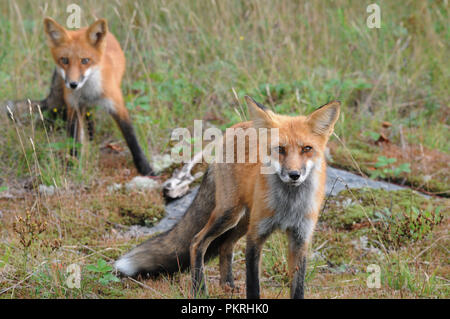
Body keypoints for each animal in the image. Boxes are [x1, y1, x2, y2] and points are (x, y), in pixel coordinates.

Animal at [43, 17, 155, 176]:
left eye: (85, 60)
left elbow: (131, 137)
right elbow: (73, 140)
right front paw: (72, 165)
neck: (89, 92)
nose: (73, 84)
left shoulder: (117, 105)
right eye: (64, 60)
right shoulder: (74, 108)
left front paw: (145, 167)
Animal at [114, 96, 340, 298]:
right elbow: (253, 286)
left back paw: (227, 285)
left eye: (307, 149)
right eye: (280, 149)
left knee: (225, 245)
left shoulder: (300, 239)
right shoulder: (256, 236)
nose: (294, 175)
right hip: (229, 214)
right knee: (196, 242)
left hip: (242, 220)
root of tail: (233, 129)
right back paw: (200, 290)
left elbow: (298, 288)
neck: (289, 205)